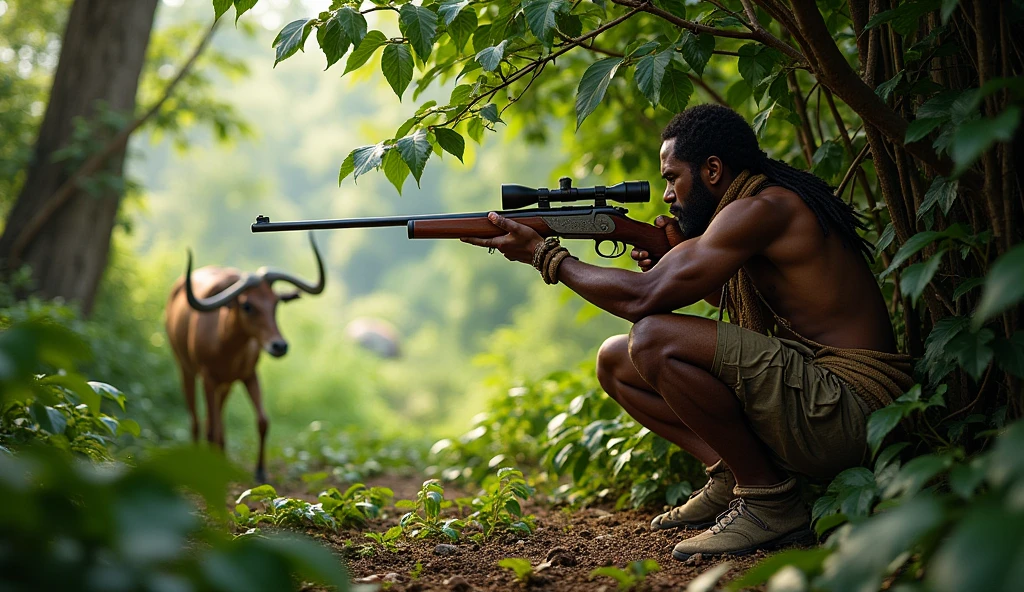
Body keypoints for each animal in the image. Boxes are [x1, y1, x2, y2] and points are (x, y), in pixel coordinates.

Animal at [164, 230, 323, 479]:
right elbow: (210, 426)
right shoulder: (208, 378)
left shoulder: (249, 375)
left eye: (276, 303)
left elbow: (263, 421)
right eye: (247, 305)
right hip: (187, 370)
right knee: (197, 419)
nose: (279, 346)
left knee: (216, 419)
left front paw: (260, 471)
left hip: (226, 385)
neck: (224, 344)